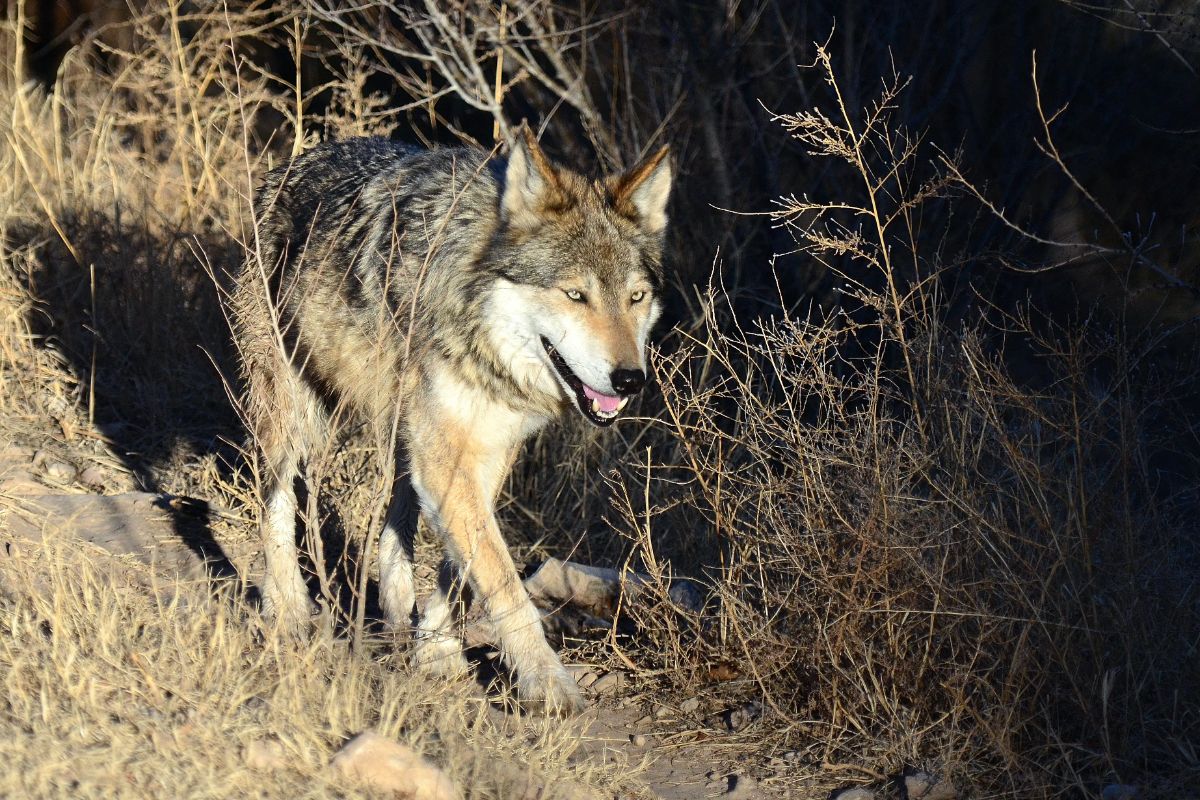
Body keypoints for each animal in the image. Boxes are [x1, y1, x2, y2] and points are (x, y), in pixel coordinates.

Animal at [229, 125, 672, 714]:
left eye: (636, 297)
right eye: (576, 294)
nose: (629, 380)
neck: (472, 309)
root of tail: (295, 161)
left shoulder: (488, 448)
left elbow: (459, 568)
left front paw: (436, 653)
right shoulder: (448, 459)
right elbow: (503, 581)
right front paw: (548, 684)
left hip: (404, 429)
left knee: (396, 516)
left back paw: (395, 611)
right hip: (293, 415)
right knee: (276, 501)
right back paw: (289, 612)